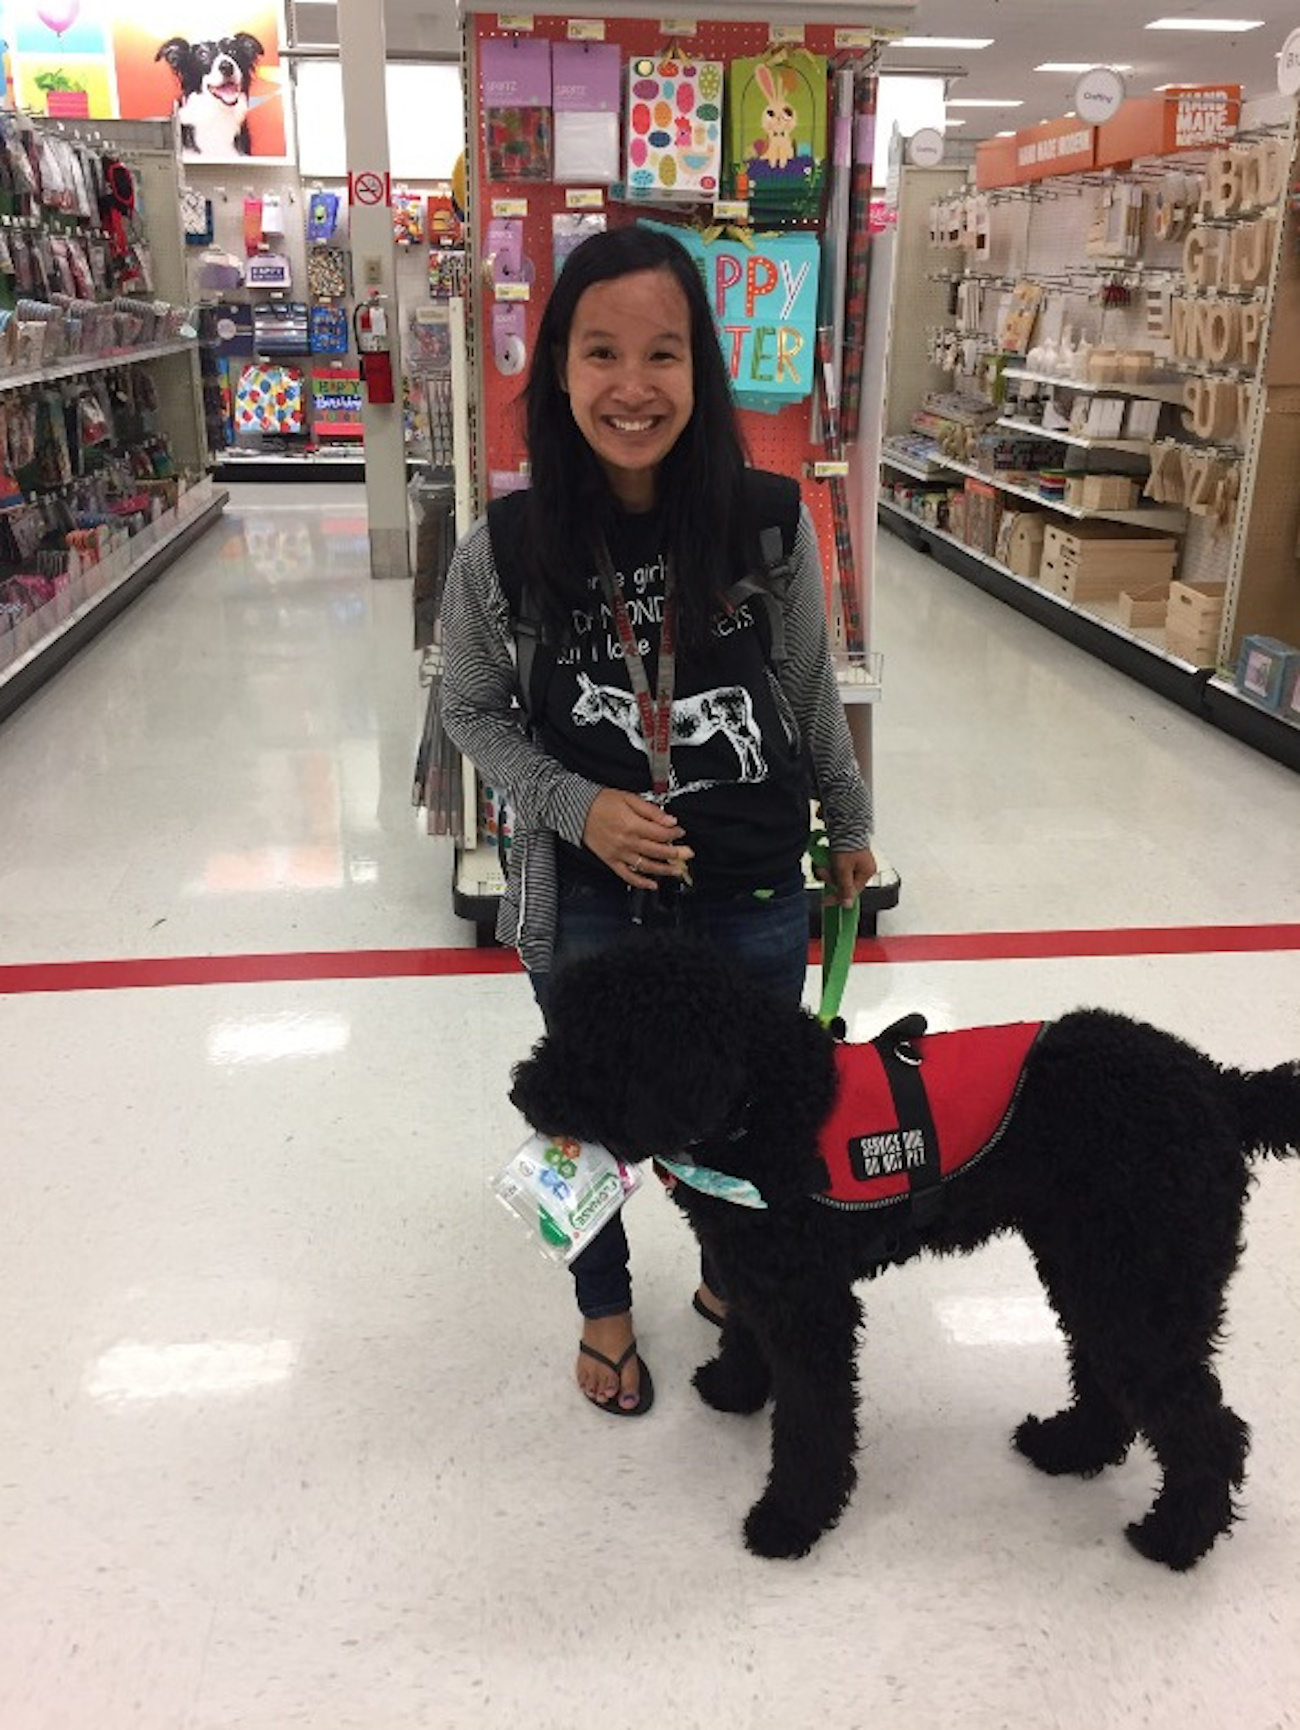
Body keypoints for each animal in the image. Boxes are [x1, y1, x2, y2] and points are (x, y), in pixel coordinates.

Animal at [512, 934, 1300, 1570]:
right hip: (1096, 1273)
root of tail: (1218, 1086)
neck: (766, 1104)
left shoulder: (810, 1308)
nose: (520, 1092)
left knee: (1208, 1428)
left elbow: (812, 1425)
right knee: (1110, 1385)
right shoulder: (755, 1272)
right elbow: (741, 1334)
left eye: (594, 1049)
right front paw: (735, 1390)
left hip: (1142, 1287)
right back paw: (1068, 1447)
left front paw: (790, 1519)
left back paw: (1176, 1537)